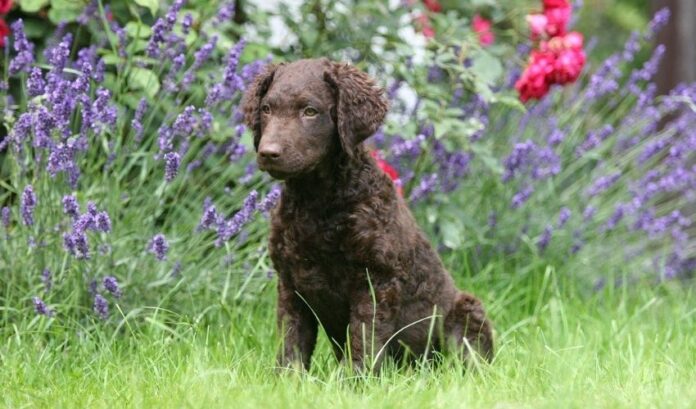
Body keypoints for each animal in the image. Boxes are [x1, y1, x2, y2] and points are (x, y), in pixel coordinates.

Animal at [242, 59, 492, 372]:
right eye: (266, 109)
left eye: (309, 111)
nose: (268, 153)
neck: (316, 203)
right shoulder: (290, 284)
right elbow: (291, 340)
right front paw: (288, 378)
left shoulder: (375, 281)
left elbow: (364, 336)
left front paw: (357, 379)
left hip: (466, 312)